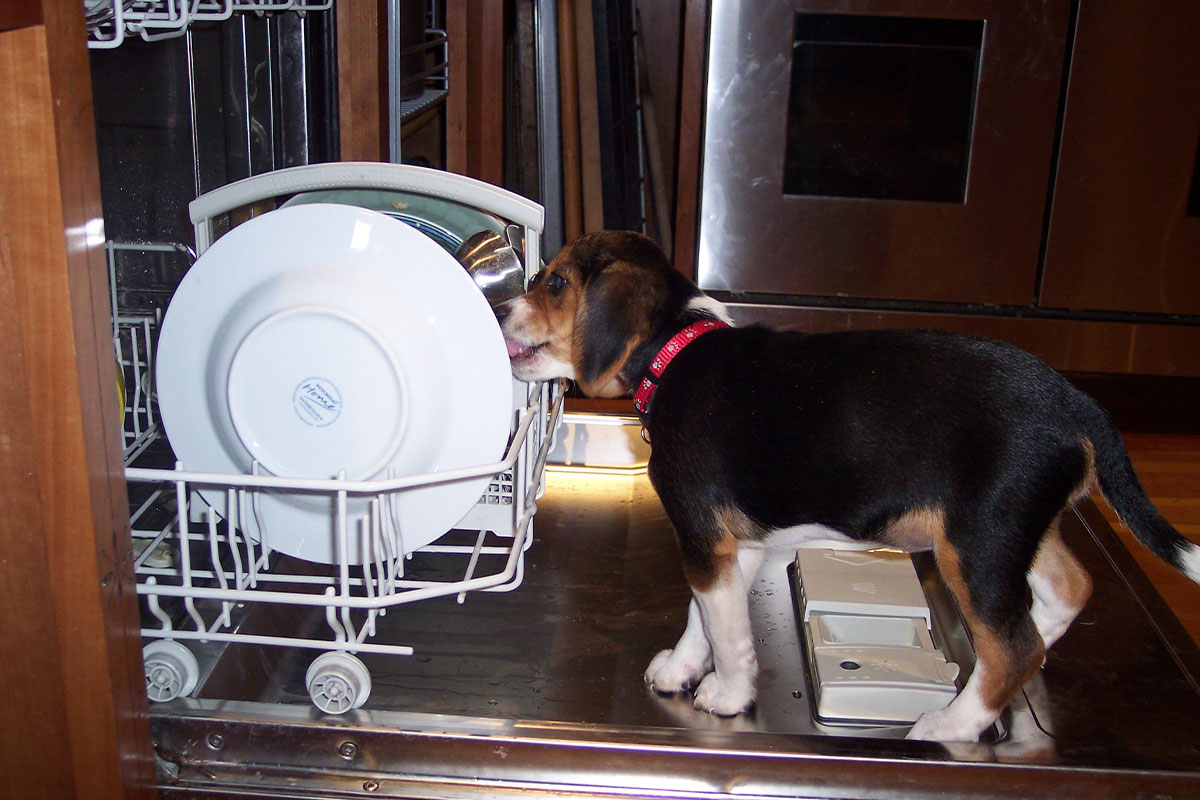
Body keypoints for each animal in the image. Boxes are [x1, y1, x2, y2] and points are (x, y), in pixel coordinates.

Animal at [499, 227, 1200, 743]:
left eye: (554, 282)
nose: (501, 308)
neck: (675, 352)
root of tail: (1075, 402)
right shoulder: (733, 545)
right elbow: (705, 617)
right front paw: (681, 668)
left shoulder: (703, 536)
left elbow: (725, 630)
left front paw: (728, 694)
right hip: (1015, 528)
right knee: (1066, 592)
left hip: (976, 542)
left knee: (1014, 646)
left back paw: (951, 723)